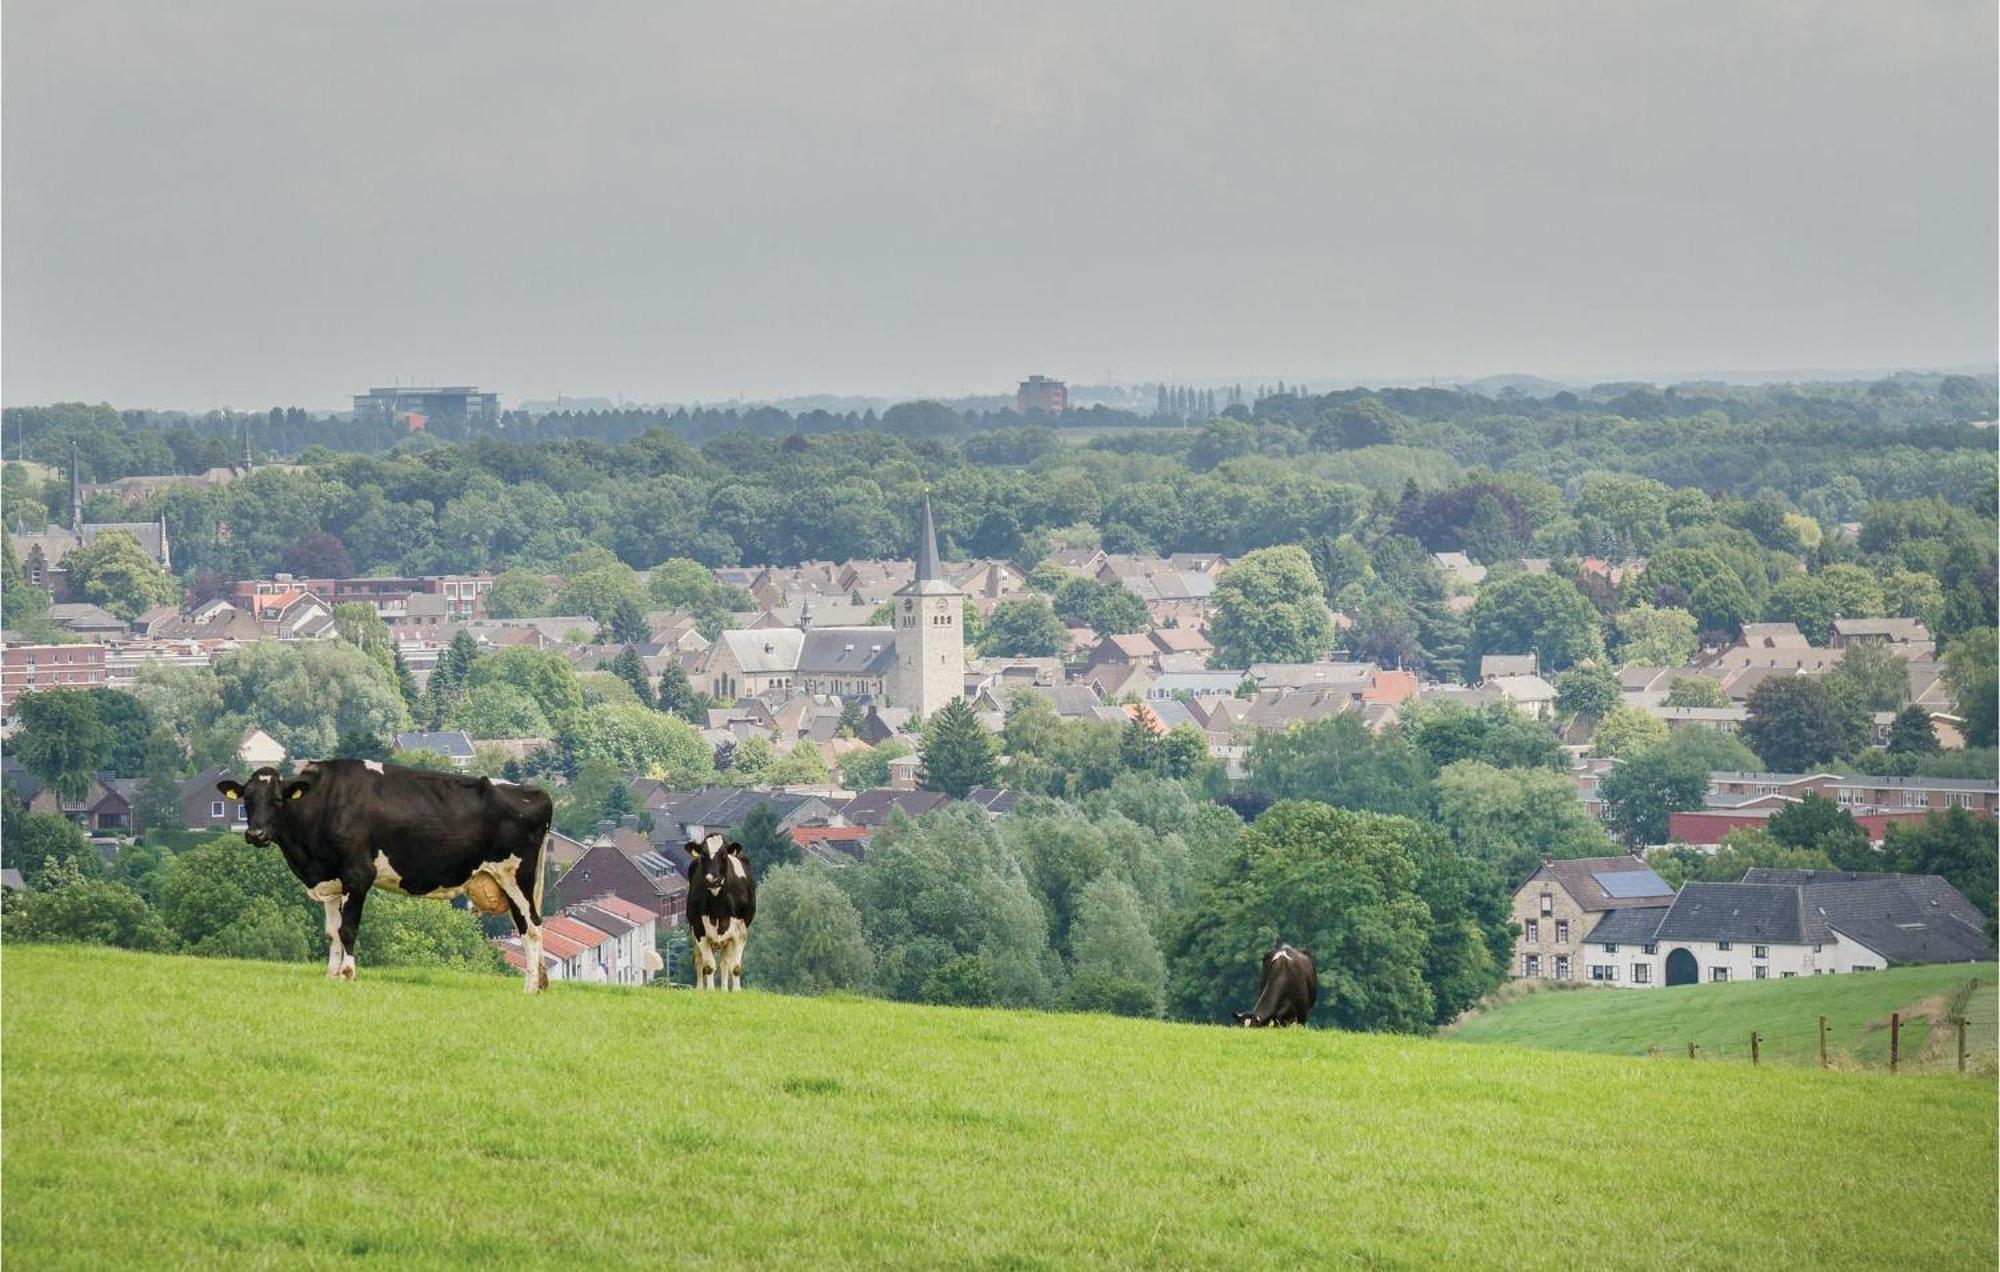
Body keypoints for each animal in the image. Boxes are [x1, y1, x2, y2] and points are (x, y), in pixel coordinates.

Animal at [217, 756, 556, 992]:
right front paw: (331, 974)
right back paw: (539, 983)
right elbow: (331, 931)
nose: (255, 834)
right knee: (530, 925)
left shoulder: (357, 874)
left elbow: (348, 928)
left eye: (277, 800)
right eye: (247, 800)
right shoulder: (331, 879)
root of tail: (535, 792)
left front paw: (348, 974)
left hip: (515, 877)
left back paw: (529, 988)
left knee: (531, 927)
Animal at [684, 836, 752, 992]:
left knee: (725, 963)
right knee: (699, 960)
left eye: (724, 855)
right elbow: (708, 966)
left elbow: (736, 967)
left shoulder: (740, 932)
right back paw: (700, 988)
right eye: (703, 855)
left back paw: (725, 989)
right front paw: (710, 990)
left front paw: (736, 991)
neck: (718, 909)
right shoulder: (699, 930)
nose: (712, 880)